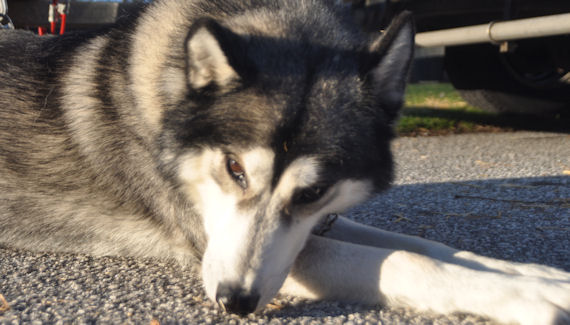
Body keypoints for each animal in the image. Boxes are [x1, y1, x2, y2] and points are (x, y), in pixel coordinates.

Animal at [1, 1, 568, 322]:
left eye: (313, 191)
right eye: (233, 169)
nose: (235, 300)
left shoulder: (317, 220)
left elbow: (423, 245)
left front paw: (534, 274)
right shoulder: (219, 245)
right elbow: (405, 261)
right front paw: (525, 296)